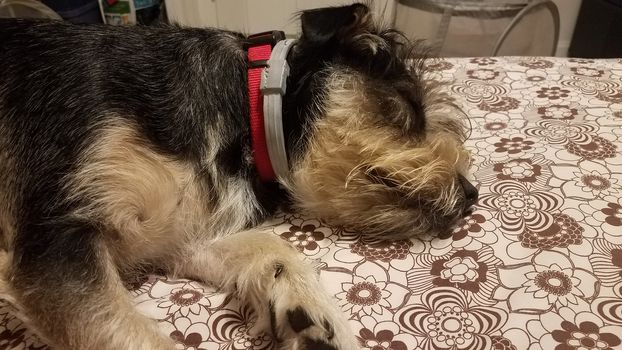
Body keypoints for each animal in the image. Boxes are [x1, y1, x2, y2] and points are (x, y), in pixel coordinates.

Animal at [0, 3, 478, 350]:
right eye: (409, 104)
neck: (247, 105)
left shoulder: (180, 235)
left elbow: (273, 244)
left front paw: (312, 314)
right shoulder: (58, 240)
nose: (473, 195)